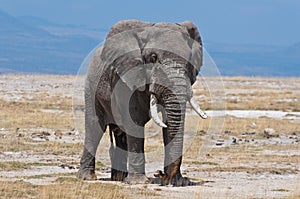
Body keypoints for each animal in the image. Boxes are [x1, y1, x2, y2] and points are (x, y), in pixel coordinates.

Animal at [76, 19, 207, 186]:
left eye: (190, 60)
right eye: (153, 57)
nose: (160, 175)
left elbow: (168, 123)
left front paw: (178, 182)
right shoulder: (126, 78)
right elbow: (134, 122)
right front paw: (139, 181)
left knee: (120, 133)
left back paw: (119, 178)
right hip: (91, 86)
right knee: (94, 127)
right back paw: (87, 177)